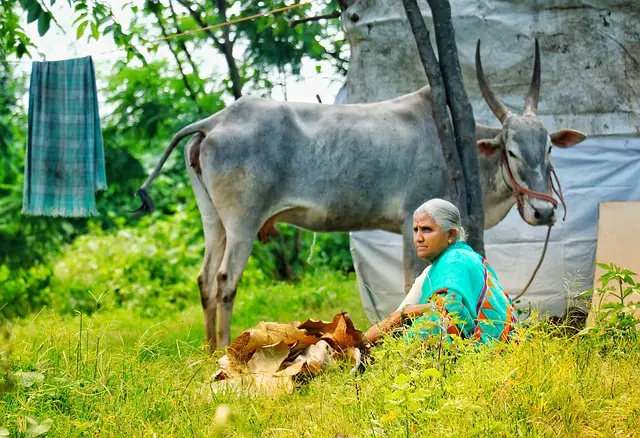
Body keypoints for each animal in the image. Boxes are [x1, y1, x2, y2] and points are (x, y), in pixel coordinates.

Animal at [135, 41, 586, 350]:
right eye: (511, 151)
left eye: (548, 148)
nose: (543, 211)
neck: (464, 145)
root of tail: (215, 121)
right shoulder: (409, 224)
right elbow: (409, 283)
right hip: (242, 221)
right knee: (225, 281)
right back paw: (226, 349)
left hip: (214, 221)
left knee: (204, 279)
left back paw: (210, 349)